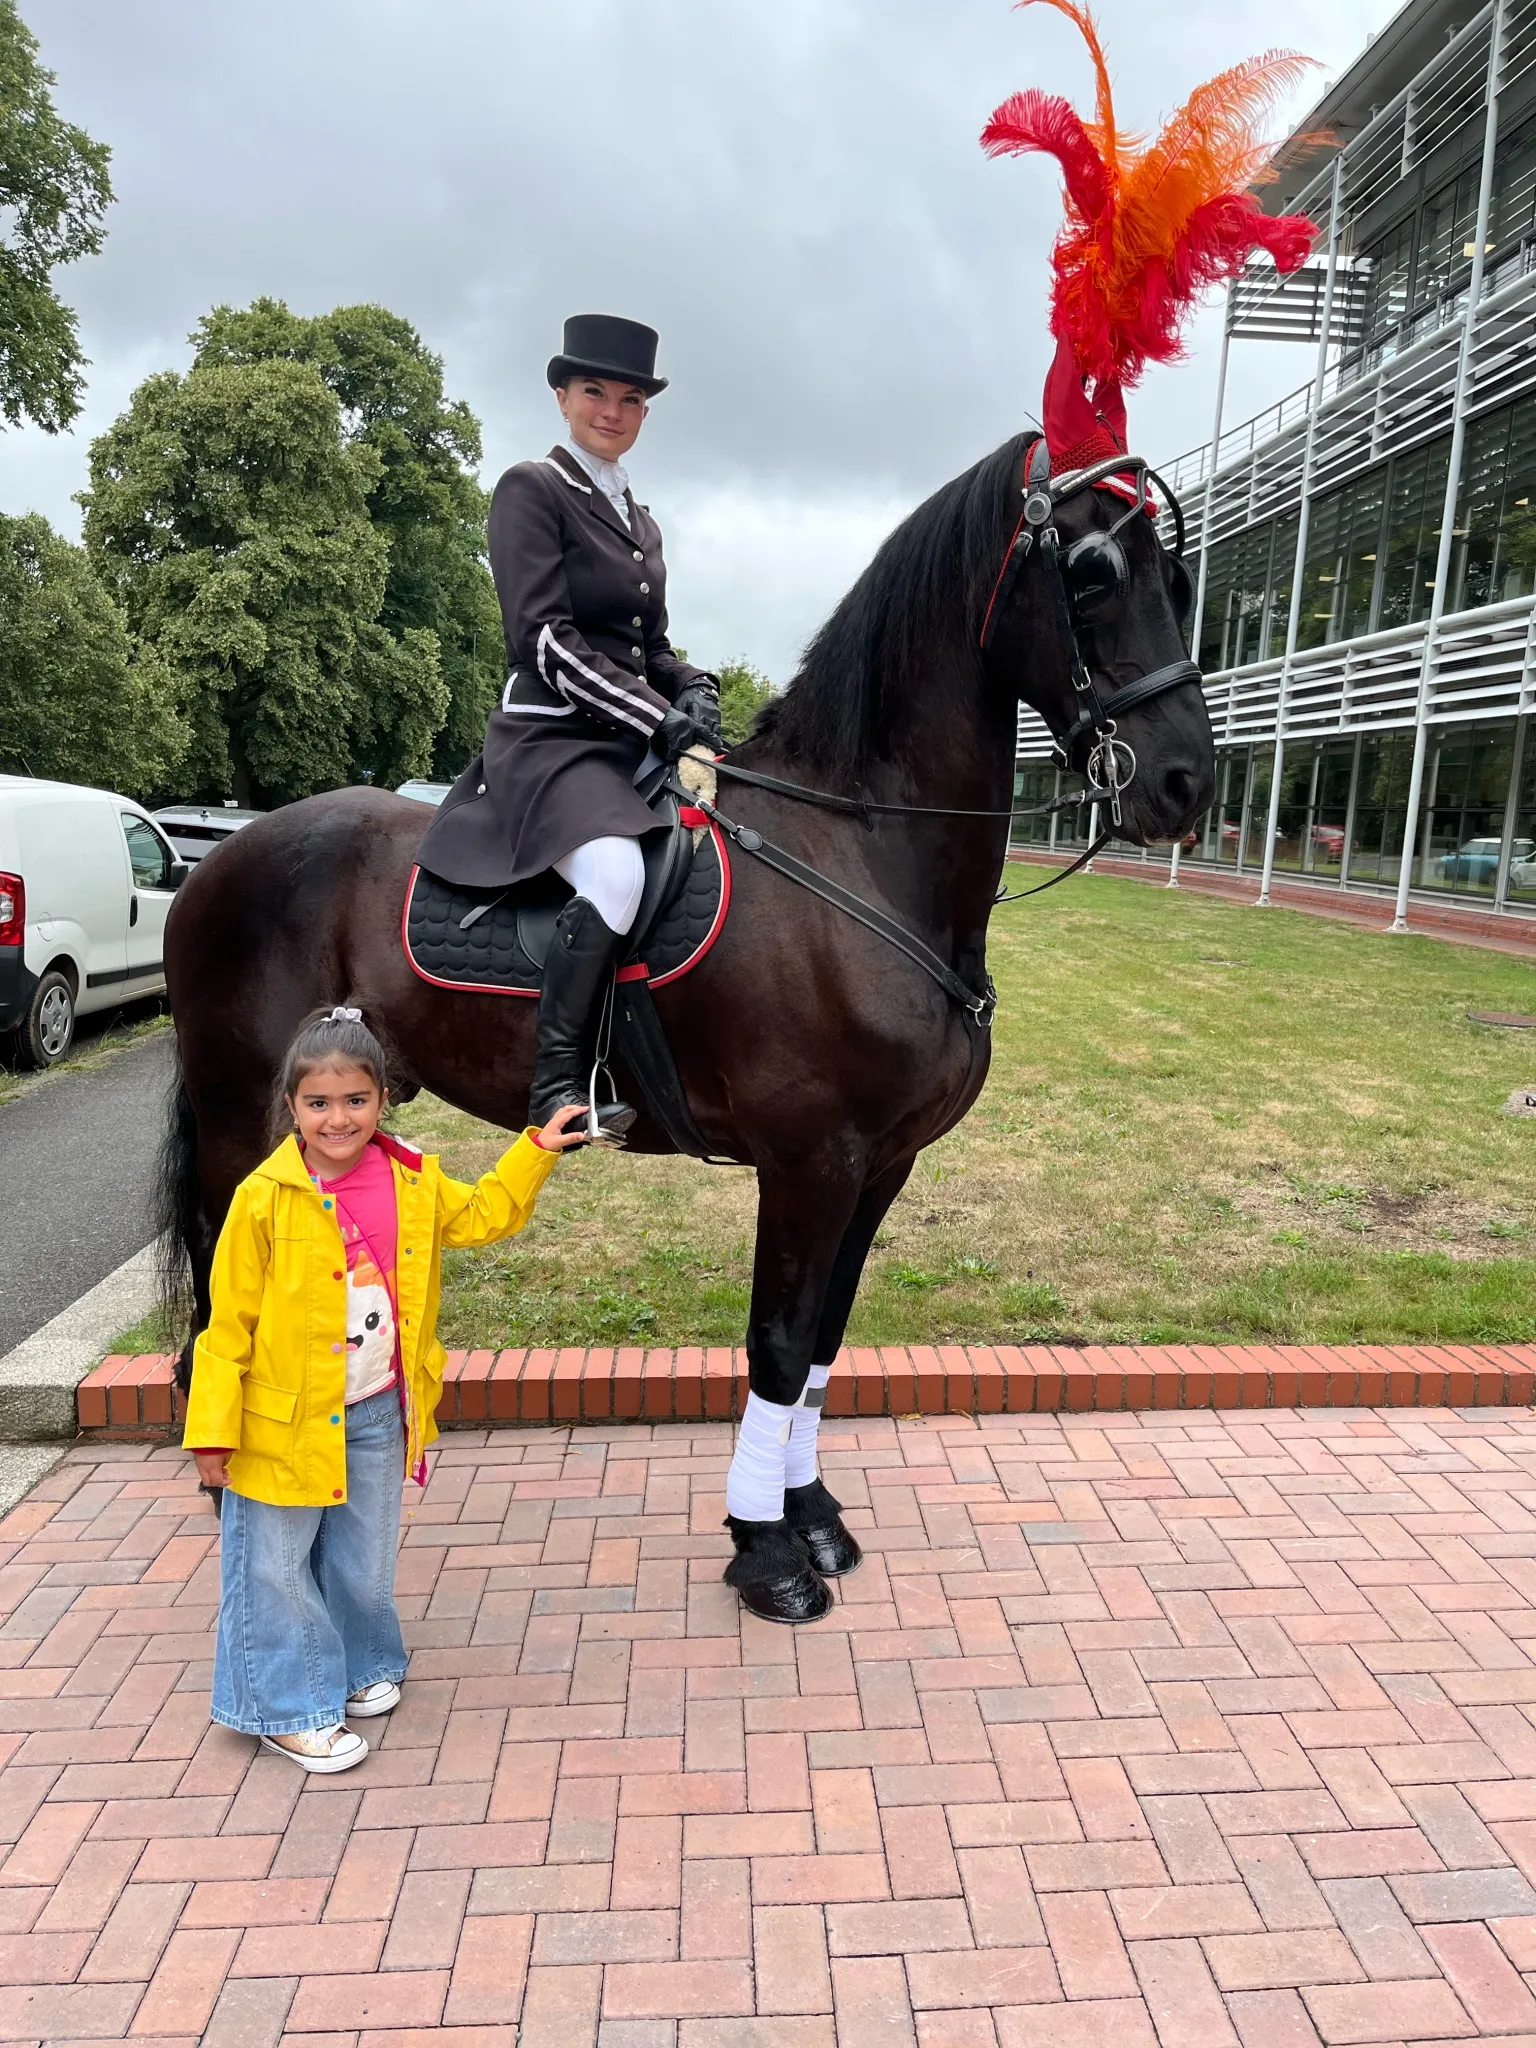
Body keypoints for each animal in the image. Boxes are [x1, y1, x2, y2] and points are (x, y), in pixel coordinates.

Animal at [159, 430, 1214, 1480]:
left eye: (1179, 580)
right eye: (1092, 572)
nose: (1184, 783)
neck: (860, 849)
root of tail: (218, 856)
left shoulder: (883, 1165)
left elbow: (824, 1343)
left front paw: (810, 1509)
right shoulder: (810, 1164)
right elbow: (779, 1347)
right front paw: (767, 1529)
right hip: (238, 1104)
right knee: (222, 1259)